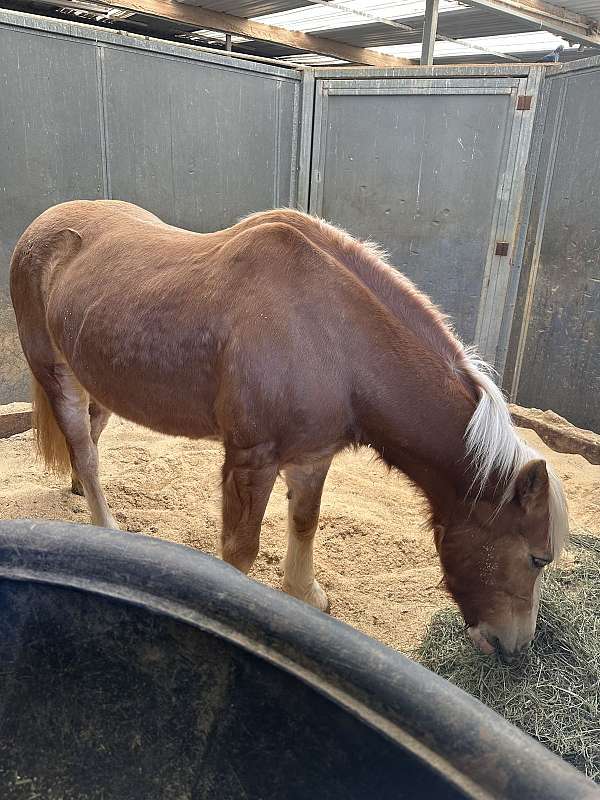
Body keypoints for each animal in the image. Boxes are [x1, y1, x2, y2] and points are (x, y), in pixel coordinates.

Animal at [11, 202, 568, 664]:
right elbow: (241, 550)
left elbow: (305, 522)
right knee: (84, 450)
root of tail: (41, 225)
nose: (514, 647)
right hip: (57, 375)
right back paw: (106, 528)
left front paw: (304, 595)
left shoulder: (312, 457)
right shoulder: (251, 460)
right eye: (537, 557)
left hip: (99, 382)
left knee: (89, 441)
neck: (335, 340)